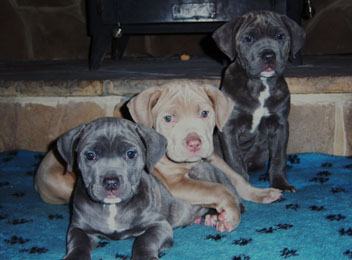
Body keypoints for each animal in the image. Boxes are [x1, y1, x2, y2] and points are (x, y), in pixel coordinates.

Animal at [58, 118, 239, 260]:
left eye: (130, 154)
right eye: (90, 155)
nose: (111, 182)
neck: (113, 208)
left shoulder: (159, 225)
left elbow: (144, 240)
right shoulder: (79, 228)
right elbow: (78, 243)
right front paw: (74, 257)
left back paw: (215, 216)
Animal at [212, 10, 306, 191]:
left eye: (279, 36)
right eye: (249, 38)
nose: (268, 55)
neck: (260, 84)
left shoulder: (280, 125)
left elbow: (278, 158)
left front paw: (281, 183)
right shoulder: (229, 128)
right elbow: (235, 161)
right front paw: (243, 187)